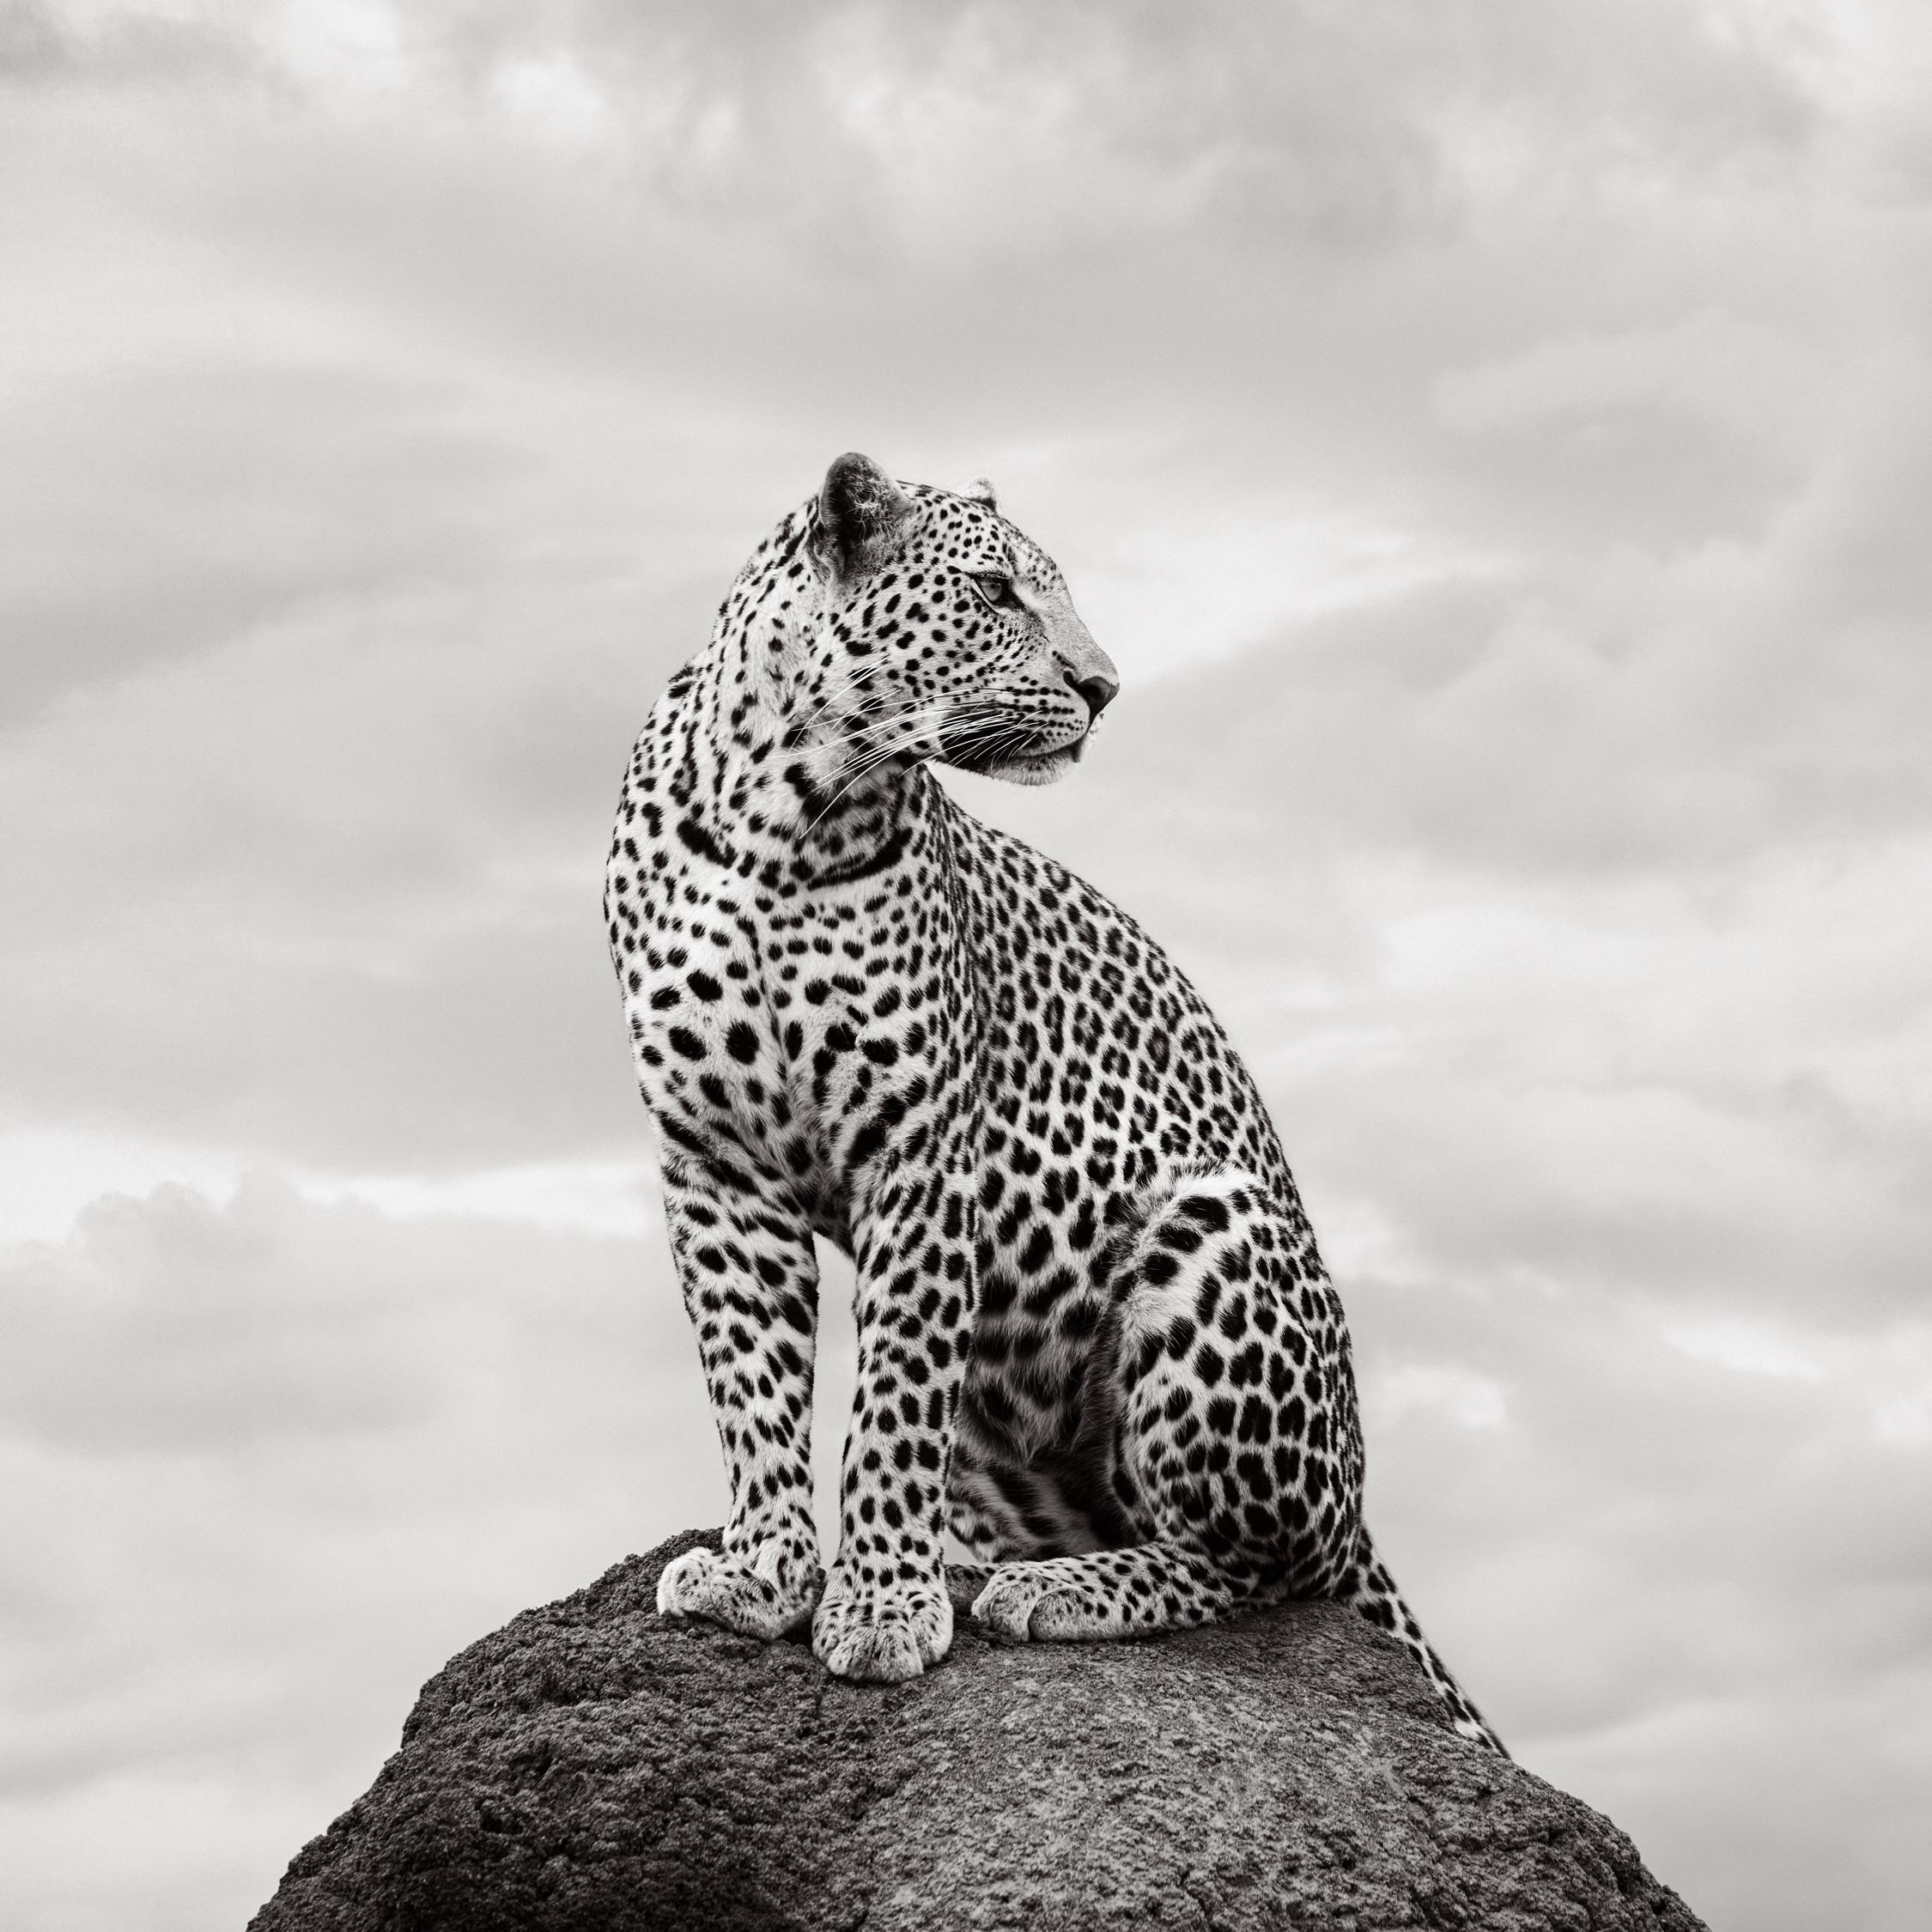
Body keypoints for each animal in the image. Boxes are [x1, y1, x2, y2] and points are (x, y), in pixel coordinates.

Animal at [611, 452, 1499, 1754]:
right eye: (994, 591)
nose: (1105, 687)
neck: (785, 818)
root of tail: (1358, 1495)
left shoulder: (919, 1153)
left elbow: (891, 1394)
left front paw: (881, 1601)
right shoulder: (713, 1159)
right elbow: (752, 1380)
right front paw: (764, 1569)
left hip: (1213, 1232)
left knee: (1261, 1565)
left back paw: (1056, 1590)